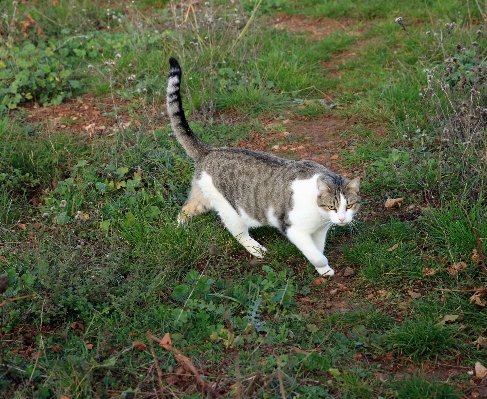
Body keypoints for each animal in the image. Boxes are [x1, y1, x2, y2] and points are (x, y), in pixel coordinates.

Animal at [166, 58, 360, 278]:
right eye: (332, 206)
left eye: (350, 205)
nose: (342, 219)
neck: (319, 214)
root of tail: (210, 151)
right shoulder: (295, 230)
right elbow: (316, 254)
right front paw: (322, 265)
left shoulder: (320, 230)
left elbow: (318, 250)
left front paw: (324, 271)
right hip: (230, 211)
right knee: (238, 233)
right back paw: (257, 249)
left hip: (204, 197)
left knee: (185, 209)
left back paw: (178, 230)